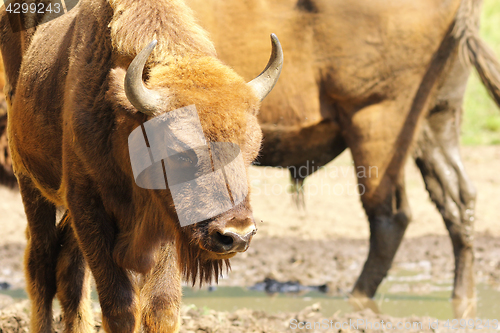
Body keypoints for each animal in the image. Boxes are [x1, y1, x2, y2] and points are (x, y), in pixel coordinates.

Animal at [0, 0, 282, 332]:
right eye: (181, 154)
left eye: (251, 154)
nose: (237, 234)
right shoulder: (88, 205)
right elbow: (119, 305)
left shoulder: (166, 224)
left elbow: (162, 304)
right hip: (29, 182)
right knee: (41, 262)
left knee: (70, 271)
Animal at [187, 0, 500, 306]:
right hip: (438, 117)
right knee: (457, 198)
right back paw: (462, 298)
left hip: (376, 119)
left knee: (390, 214)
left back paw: (357, 297)